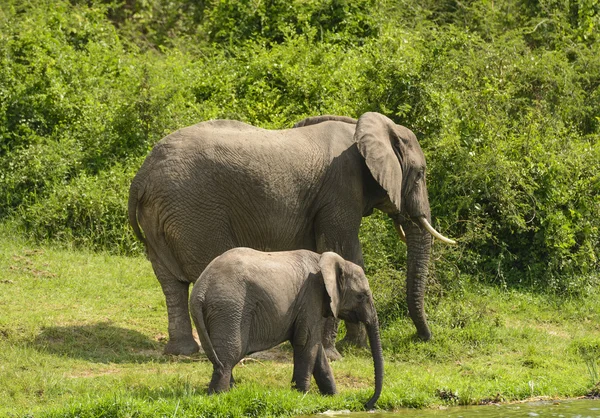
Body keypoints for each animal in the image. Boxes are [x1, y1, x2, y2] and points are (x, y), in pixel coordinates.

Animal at [127, 111, 454, 356]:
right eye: (421, 174)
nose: (423, 337)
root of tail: (141, 175)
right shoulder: (341, 189)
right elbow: (342, 251)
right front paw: (339, 351)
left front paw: (352, 345)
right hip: (194, 211)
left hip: (162, 213)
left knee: (170, 283)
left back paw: (182, 352)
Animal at [190, 248, 382, 408]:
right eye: (362, 296)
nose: (367, 404)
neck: (327, 260)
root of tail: (201, 288)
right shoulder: (311, 296)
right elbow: (306, 343)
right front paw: (302, 395)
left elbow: (316, 348)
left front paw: (333, 396)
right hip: (229, 309)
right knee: (229, 355)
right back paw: (220, 396)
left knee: (223, 356)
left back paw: (231, 390)